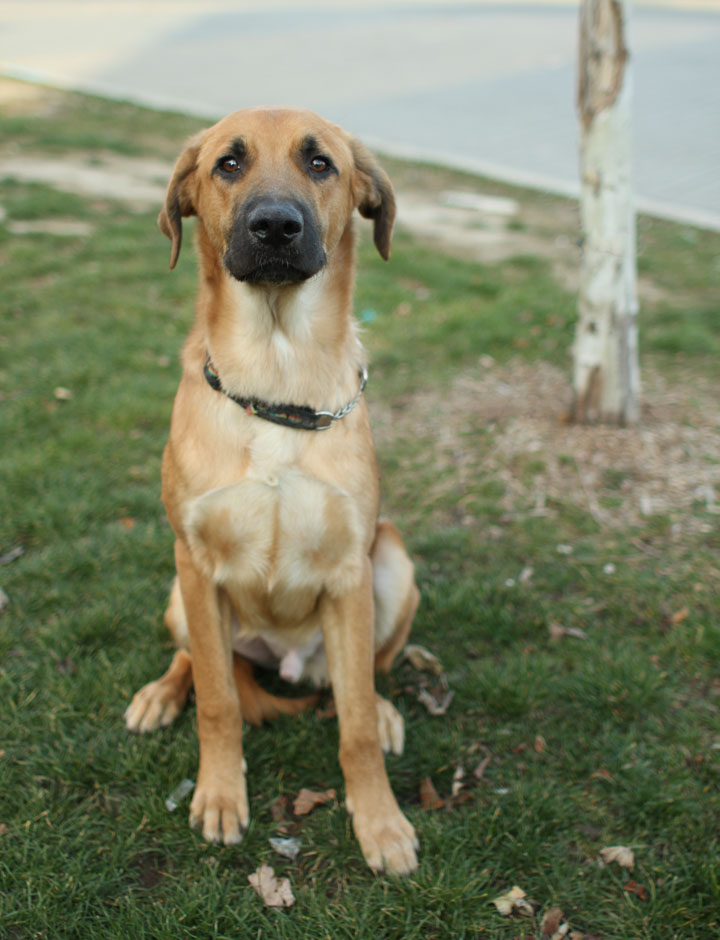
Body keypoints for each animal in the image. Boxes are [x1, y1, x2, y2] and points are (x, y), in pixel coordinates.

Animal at [123, 108, 416, 872]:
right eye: (229, 163)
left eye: (320, 164)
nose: (276, 226)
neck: (277, 378)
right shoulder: (196, 565)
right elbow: (219, 701)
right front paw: (222, 795)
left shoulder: (349, 574)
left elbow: (355, 725)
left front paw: (380, 822)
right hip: (179, 593)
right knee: (197, 660)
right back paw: (160, 695)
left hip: (393, 563)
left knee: (370, 675)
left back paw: (388, 709)